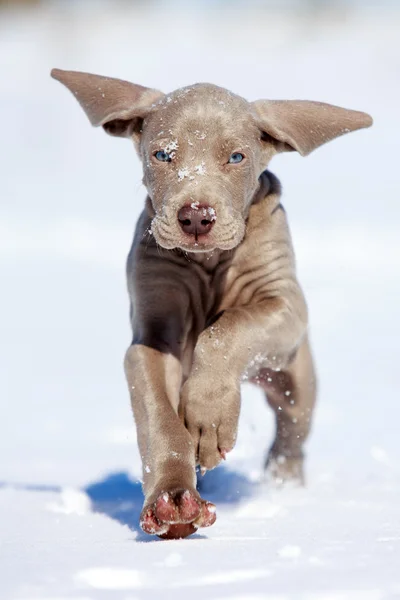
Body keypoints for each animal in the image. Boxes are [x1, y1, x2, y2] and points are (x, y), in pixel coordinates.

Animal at [51, 69, 374, 540]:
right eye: (163, 154)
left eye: (237, 157)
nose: (196, 217)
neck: (209, 264)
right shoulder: (152, 338)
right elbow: (159, 417)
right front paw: (172, 499)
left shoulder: (285, 305)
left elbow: (227, 329)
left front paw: (208, 416)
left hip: (296, 374)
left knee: (293, 428)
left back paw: (283, 483)